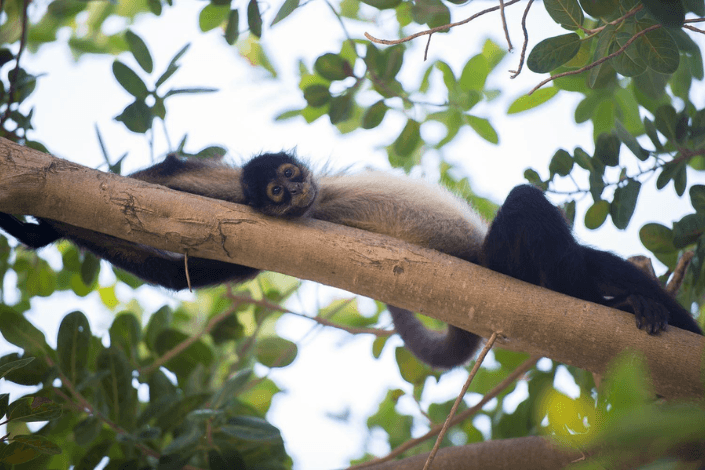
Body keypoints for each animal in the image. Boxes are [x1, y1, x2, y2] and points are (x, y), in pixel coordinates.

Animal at [0, 152, 700, 370]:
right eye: (273, 193)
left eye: (288, 176)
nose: (294, 191)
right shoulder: (251, 221)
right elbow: (183, 273)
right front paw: (41, 226)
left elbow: (167, 178)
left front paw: (41, 220)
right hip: (510, 262)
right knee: (545, 228)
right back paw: (621, 300)